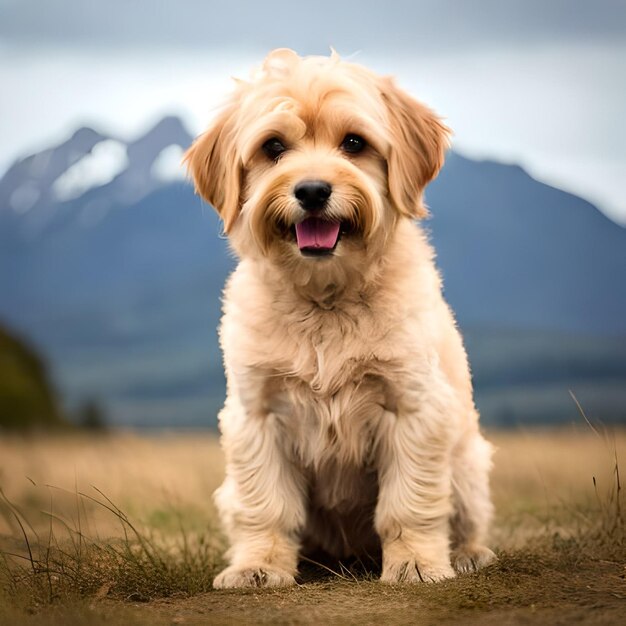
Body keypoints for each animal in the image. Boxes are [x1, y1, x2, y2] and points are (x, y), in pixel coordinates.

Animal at [183, 47, 494, 584]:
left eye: (354, 142)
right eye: (273, 146)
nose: (312, 190)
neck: (325, 302)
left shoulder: (413, 407)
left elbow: (410, 502)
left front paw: (415, 563)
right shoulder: (257, 415)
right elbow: (265, 506)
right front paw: (258, 566)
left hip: (469, 464)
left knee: (467, 519)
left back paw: (468, 554)